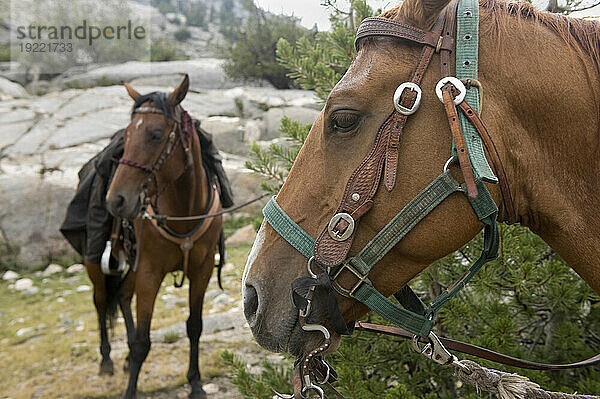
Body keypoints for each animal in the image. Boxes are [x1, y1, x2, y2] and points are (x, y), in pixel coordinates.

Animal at [106, 74, 223, 396]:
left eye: (156, 135)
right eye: (126, 138)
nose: (116, 200)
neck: (185, 212)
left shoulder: (202, 269)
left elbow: (194, 326)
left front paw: (195, 383)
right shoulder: (149, 272)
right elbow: (142, 342)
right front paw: (130, 391)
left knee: (122, 295)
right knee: (102, 301)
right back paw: (106, 361)